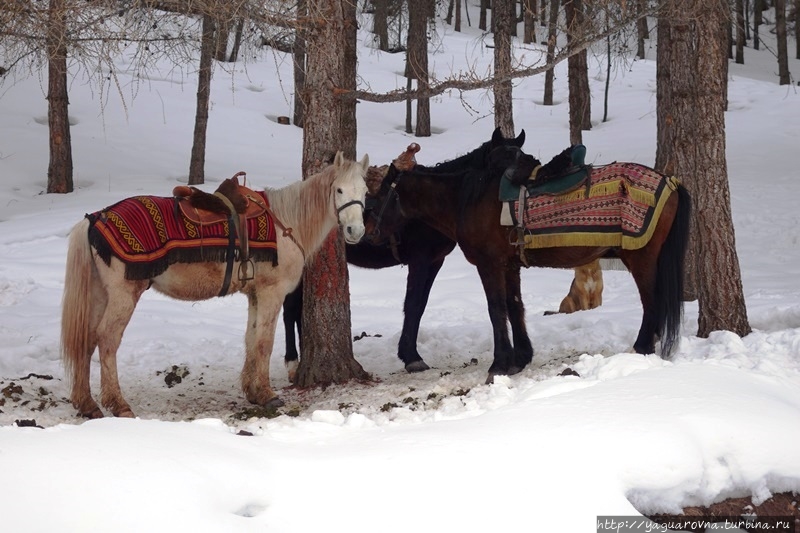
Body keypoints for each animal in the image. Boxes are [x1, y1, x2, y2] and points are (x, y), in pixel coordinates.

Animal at [61, 150, 368, 416]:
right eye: (339, 190)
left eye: (365, 192)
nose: (355, 231)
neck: (286, 222)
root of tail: (94, 220)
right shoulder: (271, 292)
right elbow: (264, 342)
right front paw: (267, 394)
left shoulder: (255, 294)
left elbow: (251, 338)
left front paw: (252, 392)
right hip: (123, 295)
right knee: (107, 339)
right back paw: (118, 404)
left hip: (100, 294)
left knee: (87, 340)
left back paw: (87, 404)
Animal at [284, 129, 528, 378]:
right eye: (498, 164)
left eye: (522, 158)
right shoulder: (419, 260)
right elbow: (412, 303)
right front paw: (412, 358)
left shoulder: (435, 261)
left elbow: (420, 305)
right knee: (290, 309)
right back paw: (293, 362)